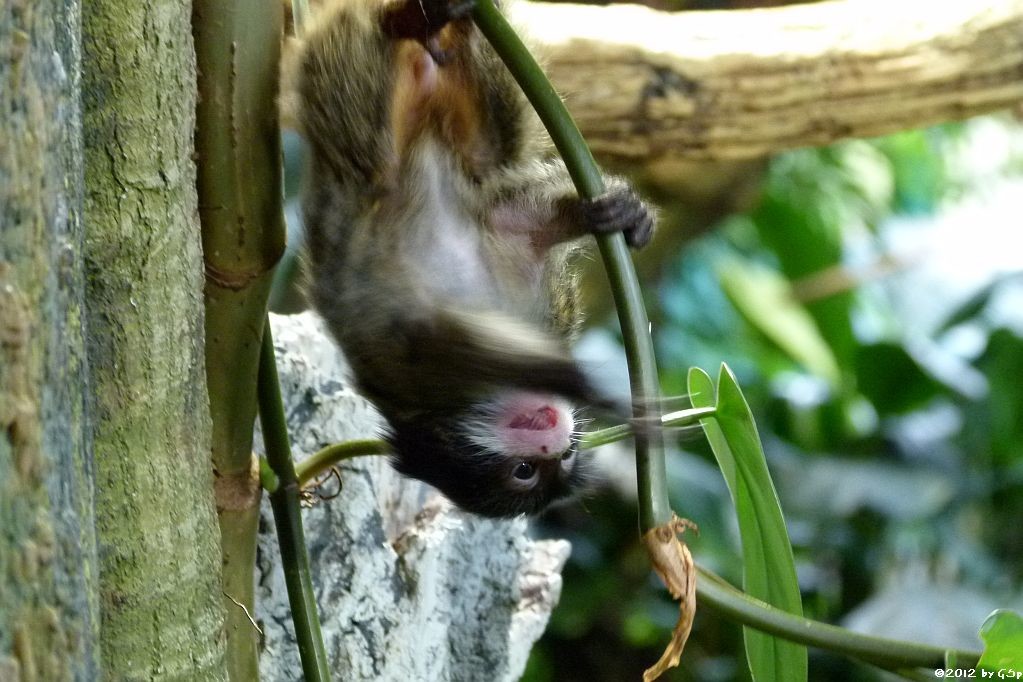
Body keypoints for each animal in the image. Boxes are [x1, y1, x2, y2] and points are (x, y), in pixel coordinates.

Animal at [282, 0, 654, 517]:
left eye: (566, 457)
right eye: (526, 471)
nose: (558, 438)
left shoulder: (545, 311)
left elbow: (524, 221)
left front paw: (616, 214)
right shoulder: (425, 367)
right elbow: (437, 333)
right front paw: (588, 387)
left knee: (468, 150)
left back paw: (429, 23)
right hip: (347, 76)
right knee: (374, 160)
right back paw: (405, 25)